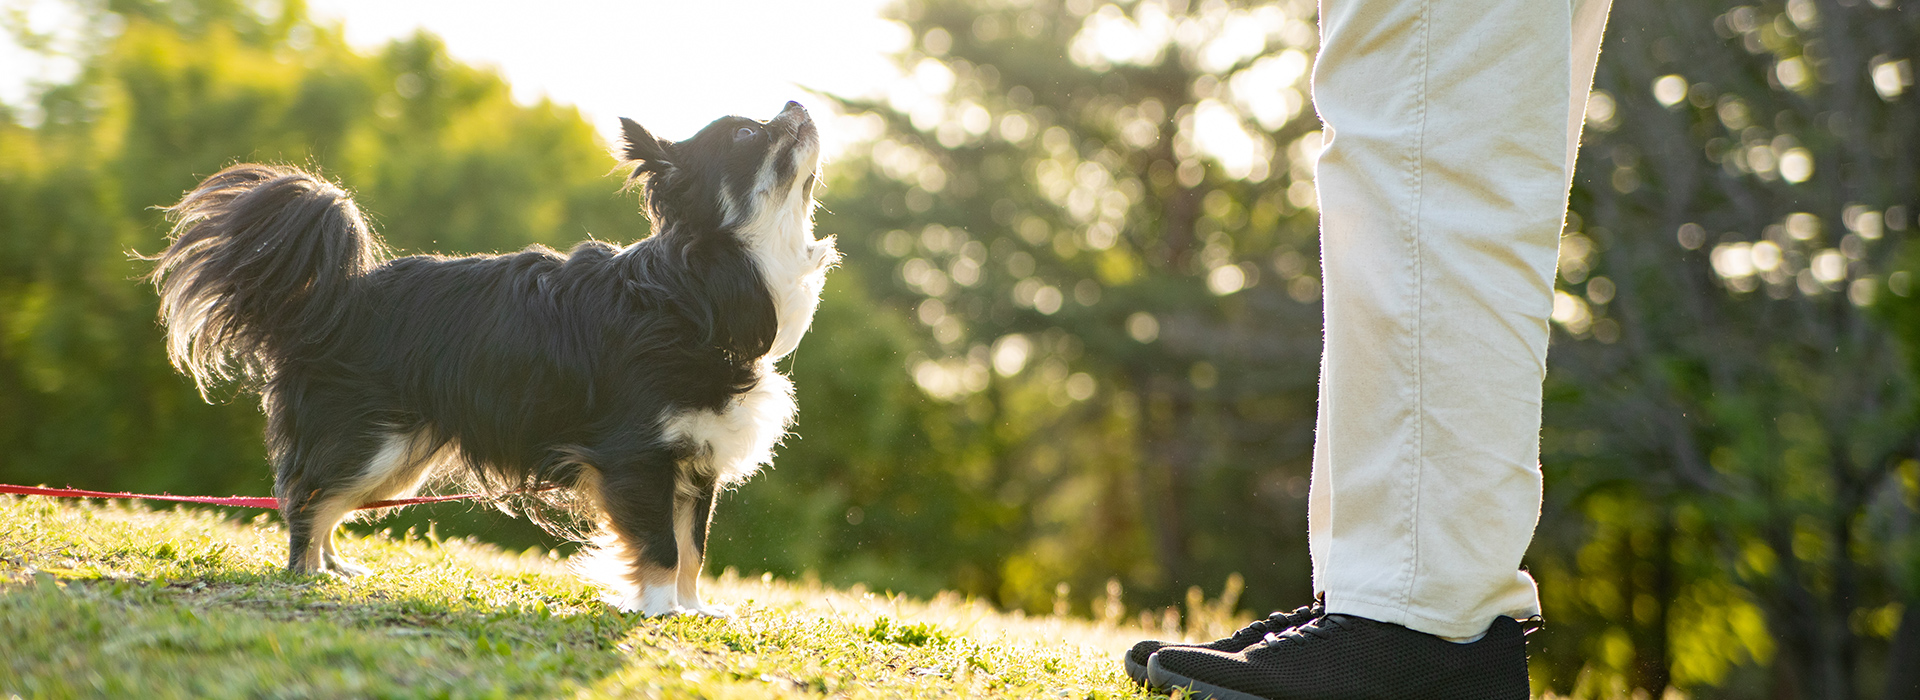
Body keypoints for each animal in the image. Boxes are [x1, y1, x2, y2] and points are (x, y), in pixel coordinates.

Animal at [145, 100, 837, 613]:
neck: (700, 293)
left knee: (321, 501)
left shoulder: (695, 464)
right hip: (374, 443)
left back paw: (332, 568)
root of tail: (330, 302)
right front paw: (660, 610)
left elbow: (694, 547)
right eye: (749, 133)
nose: (796, 101)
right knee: (307, 500)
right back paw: (306, 575)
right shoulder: (637, 458)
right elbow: (664, 549)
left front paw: (693, 610)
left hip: (398, 457)